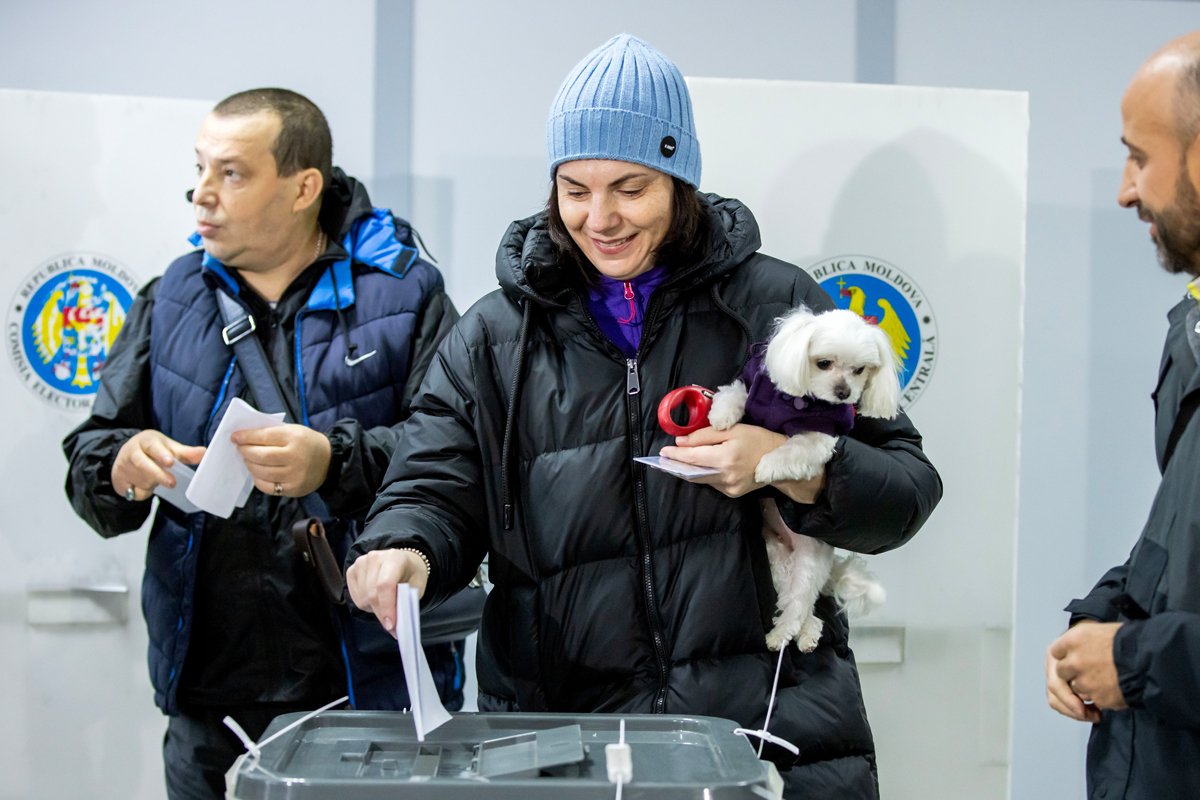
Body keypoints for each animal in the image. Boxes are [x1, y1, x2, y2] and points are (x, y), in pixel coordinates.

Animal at [705, 307, 897, 652]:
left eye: (859, 370)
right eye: (824, 363)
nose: (844, 393)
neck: (799, 399)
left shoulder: (820, 438)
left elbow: (794, 449)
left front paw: (766, 466)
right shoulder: (752, 385)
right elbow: (735, 393)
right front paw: (721, 415)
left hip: (809, 563)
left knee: (799, 606)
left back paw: (784, 636)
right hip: (776, 560)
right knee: (804, 608)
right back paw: (806, 633)